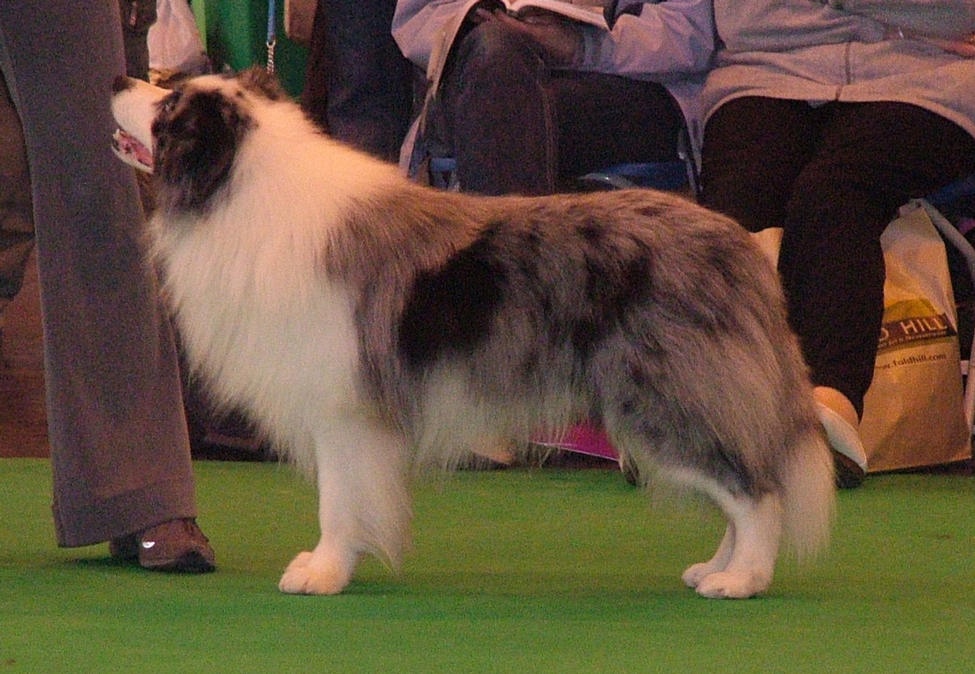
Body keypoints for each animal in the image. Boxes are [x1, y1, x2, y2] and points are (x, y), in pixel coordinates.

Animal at [112, 67, 832, 592]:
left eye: (167, 107)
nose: (120, 79)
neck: (239, 187)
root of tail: (740, 245)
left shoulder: (343, 407)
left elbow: (338, 501)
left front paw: (324, 572)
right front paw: (339, 564)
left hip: (665, 396)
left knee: (755, 490)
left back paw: (741, 580)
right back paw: (716, 567)